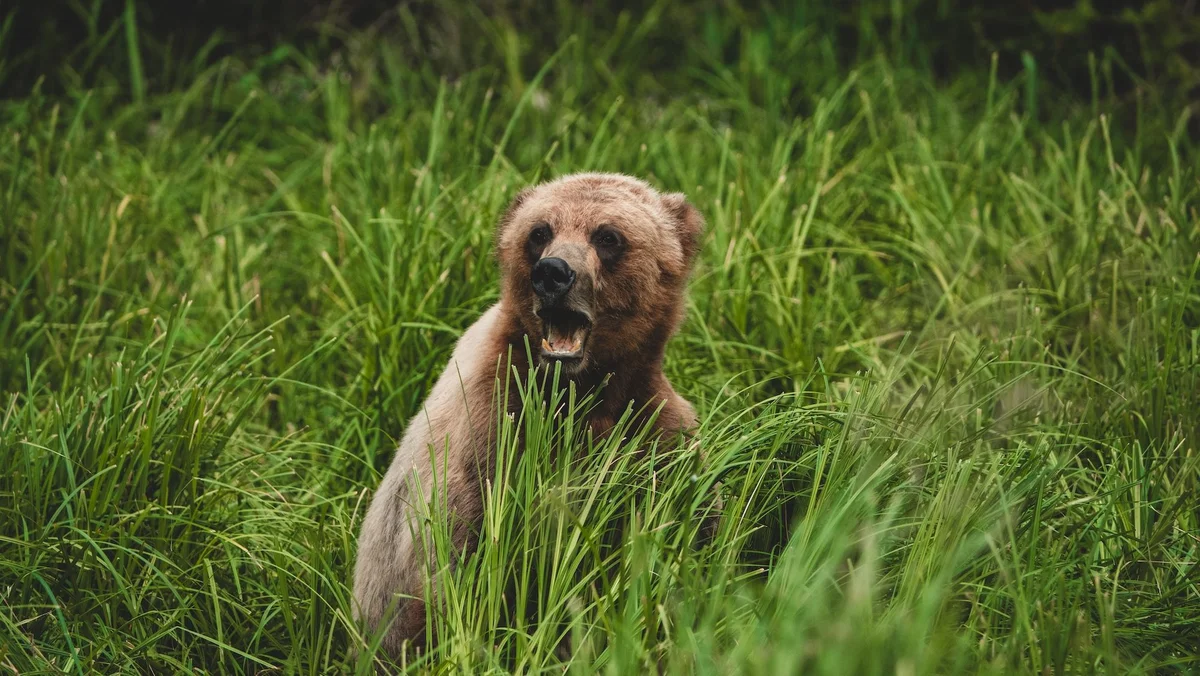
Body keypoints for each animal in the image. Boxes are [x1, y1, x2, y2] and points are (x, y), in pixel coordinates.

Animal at [351, 172, 705, 662]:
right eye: (539, 232)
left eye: (608, 235)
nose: (552, 273)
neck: (579, 391)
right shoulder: (489, 430)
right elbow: (460, 554)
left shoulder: (653, 433)